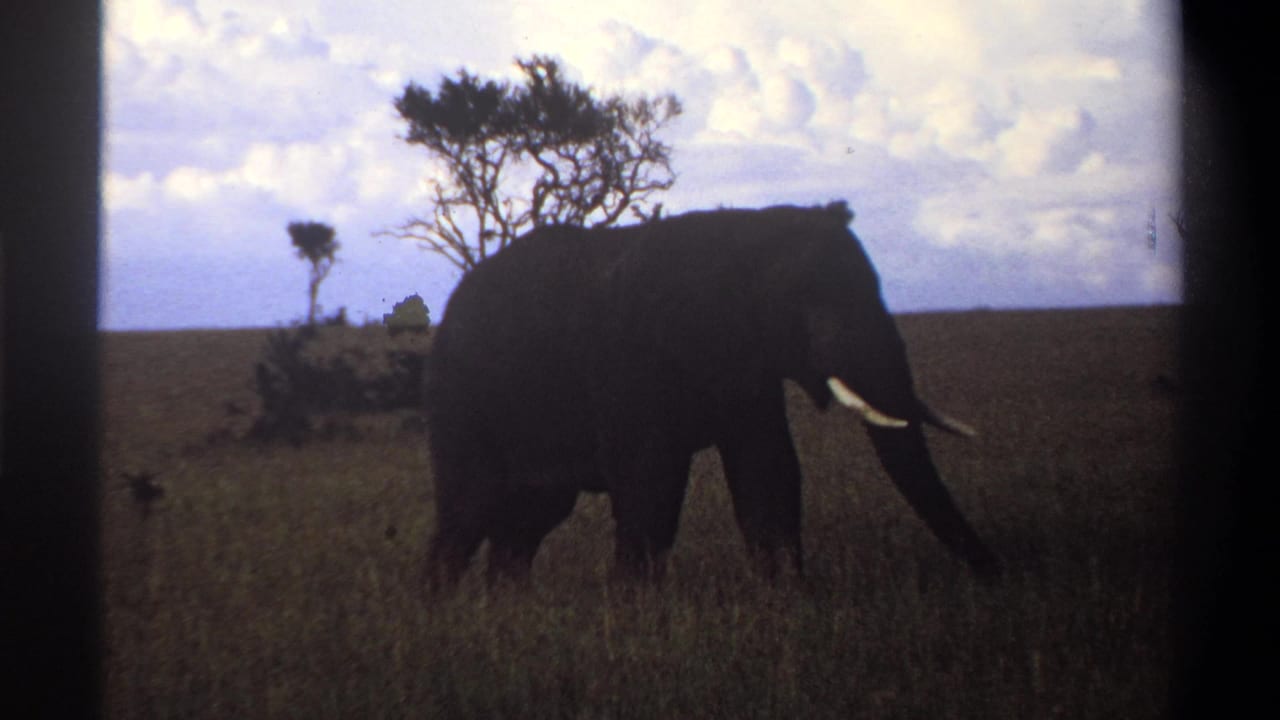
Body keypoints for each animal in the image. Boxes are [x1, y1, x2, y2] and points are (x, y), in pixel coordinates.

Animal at [423, 201, 1001, 589]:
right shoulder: (633, 357)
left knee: (525, 521)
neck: (749, 233)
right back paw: (444, 615)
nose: (993, 575)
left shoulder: (748, 366)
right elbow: (650, 483)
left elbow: (768, 470)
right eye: (813, 306)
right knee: (466, 512)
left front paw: (786, 597)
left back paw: (507, 608)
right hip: (459, 399)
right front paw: (634, 610)